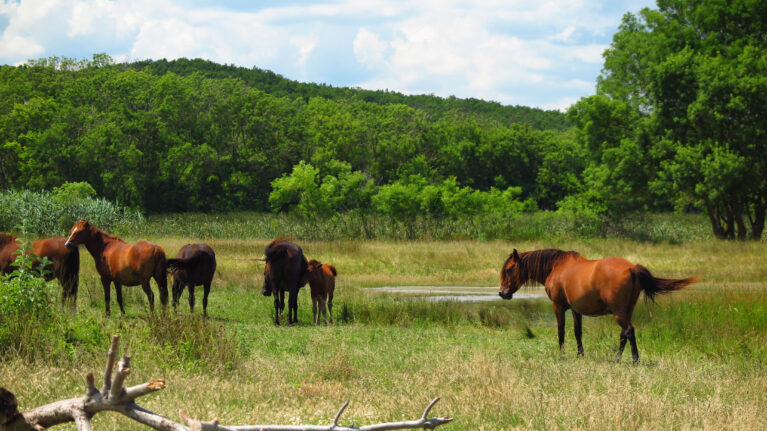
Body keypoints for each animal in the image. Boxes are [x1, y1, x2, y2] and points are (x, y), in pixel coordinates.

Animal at [499, 248, 697, 363]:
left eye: (509, 269)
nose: (502, 293)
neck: (557, 267)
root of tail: (632, 268)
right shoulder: (576, 310)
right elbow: (578, 332)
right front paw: (580, 355)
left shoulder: (558, 306)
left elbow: (561, 331)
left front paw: (562, 354)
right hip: (626, 311)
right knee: (624, 333)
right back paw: (617, 359)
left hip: (619, 312)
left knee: (629, 331)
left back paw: (634, 360)